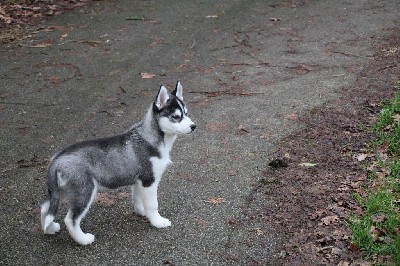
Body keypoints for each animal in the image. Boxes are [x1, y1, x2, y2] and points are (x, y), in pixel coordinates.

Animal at [40, 81, 195, 245]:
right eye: (176, 117)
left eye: (186, 113)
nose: (194, 126)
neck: (150, 138)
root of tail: (56, 159)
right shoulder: (149, 180)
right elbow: (153, 204)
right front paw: (157, 221)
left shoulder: (139, 181)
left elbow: (137, 199)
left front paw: (142, 212)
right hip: (84, 190)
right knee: (70, 219)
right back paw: (83, 239)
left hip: (62, 190)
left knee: (45, 207)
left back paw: (50, 229)